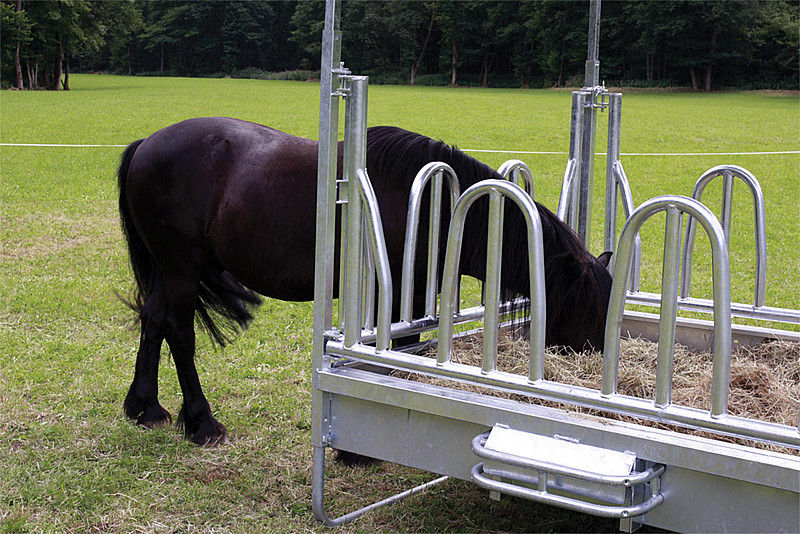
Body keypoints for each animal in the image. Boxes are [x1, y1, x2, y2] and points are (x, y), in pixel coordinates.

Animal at [115, 118, 608, 448]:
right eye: (590, 308)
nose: (597, 360)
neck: (431, 206)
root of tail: (145, 145)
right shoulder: (400, 297)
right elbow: (392, 354)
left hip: (169, 271)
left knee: (153, 321)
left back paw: (145, 408)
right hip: (182, 268)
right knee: (179, 333)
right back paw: (201, 424)